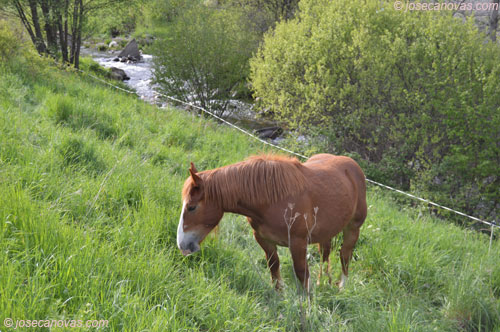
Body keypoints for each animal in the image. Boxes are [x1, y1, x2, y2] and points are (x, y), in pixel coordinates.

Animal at [178, 153, 366, 290]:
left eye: (191, 207)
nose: (182, 244)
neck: (272, 200)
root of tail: (352, 165)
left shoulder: (298, 243)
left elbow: (302, 273)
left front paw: (308, 306)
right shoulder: (263, 239)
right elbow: (273, 266)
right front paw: (279, 295)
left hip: (353, 228)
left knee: (345, 255)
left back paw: (341, 287)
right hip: (326, 232)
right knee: (325, 254)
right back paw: (324, 283)